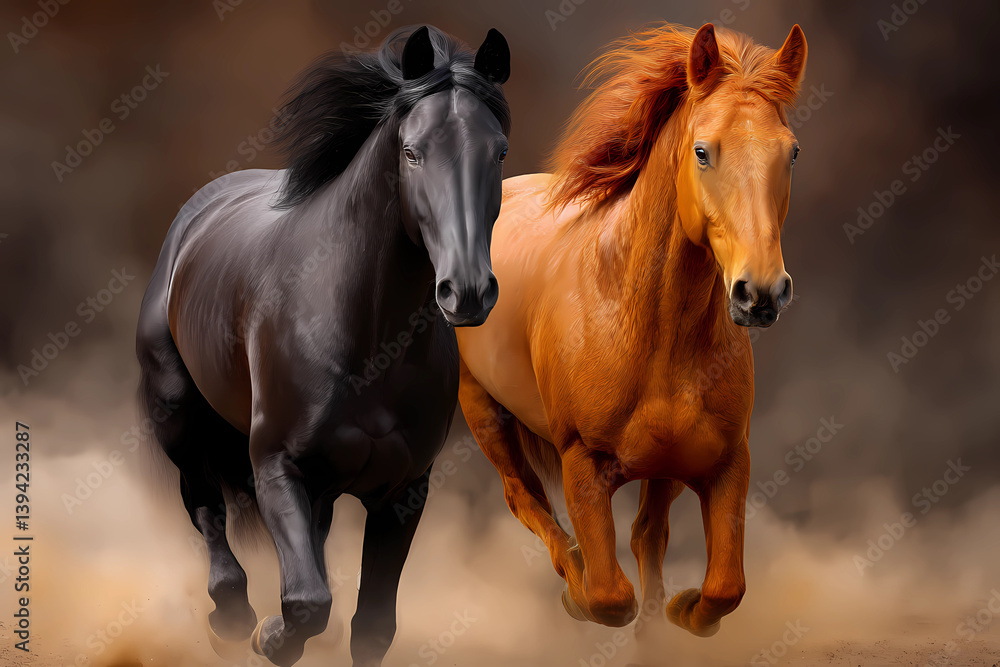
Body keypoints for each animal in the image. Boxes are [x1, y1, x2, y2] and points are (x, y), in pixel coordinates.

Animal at [135, 25, 511, 667]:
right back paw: (231, 618)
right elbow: (306, 602)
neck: (366, 339)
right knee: (205, 506)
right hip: (178, 417)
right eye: (412, 152)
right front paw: (269, 637)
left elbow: (372, 624)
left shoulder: (403, 492)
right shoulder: (277, 468)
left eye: (500, 152)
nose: (466, 291)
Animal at [455, 22, 807, 637]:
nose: (761, 292)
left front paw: (682, 610)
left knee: (647, 534)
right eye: (702, 151)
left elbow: (724, 585)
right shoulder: (582, 465)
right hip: (482, 409)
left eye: (790, 152)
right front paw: (584, 596)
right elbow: (608, 596)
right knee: (523, 496)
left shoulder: (725, 461)